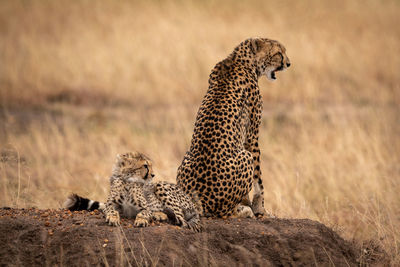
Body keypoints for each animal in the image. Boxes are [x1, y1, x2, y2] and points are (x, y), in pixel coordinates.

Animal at [66, 153, 203, 232]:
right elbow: (110, 210)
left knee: (184, 219)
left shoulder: (145, 206)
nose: (153, 175)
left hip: (160, 186)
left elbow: (144, 212)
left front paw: (141, 220)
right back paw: (160, 214)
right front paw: (113, 218)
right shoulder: (111, 204)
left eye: (150, 166)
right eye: (145, 166)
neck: (128, 181)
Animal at [178, 37, 290, 218]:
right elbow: (259, 180)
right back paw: (244, 211)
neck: (242, 60)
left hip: (186, 157)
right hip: (245, 156)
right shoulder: (252, 137)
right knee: (226, 213)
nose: (288, 63)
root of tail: (201, 204)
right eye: (278, 53)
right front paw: (260, 209)